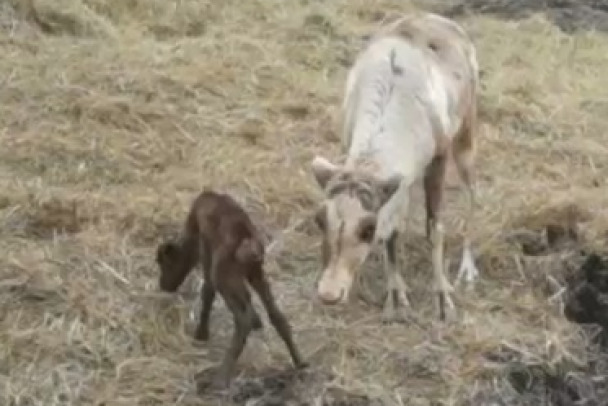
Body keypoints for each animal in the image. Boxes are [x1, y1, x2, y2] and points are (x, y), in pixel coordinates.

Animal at [157, 189, 308, 388]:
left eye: (164, 263)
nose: (163, 285)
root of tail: (249, 244)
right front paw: (258, 321)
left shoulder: (207, 249)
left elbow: (207, 292)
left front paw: (201, 334)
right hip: (256, 273)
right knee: (276, 313)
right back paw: (300, 361)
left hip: (224, 275)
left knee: (242, 319)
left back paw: (220, 378)